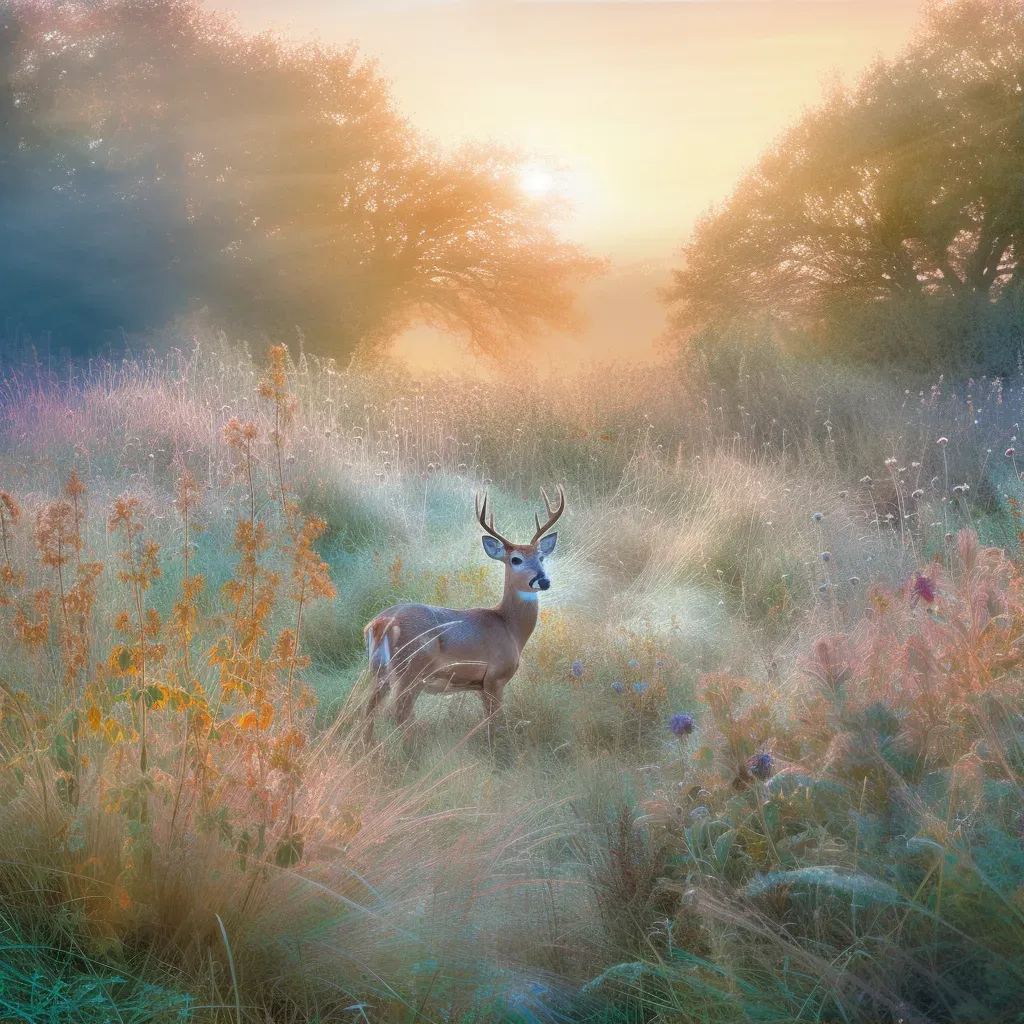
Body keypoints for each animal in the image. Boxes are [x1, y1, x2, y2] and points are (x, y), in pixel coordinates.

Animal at [362, 483, 569, 749]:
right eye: (515, 559)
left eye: (541, 557)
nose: (543, 580)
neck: (509, 628)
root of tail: (381, 623)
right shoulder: (494, 678)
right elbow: (494, 725)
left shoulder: (479, 686)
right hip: (413, 668)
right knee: (399, 712)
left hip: (379, 670)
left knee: (369, 710)